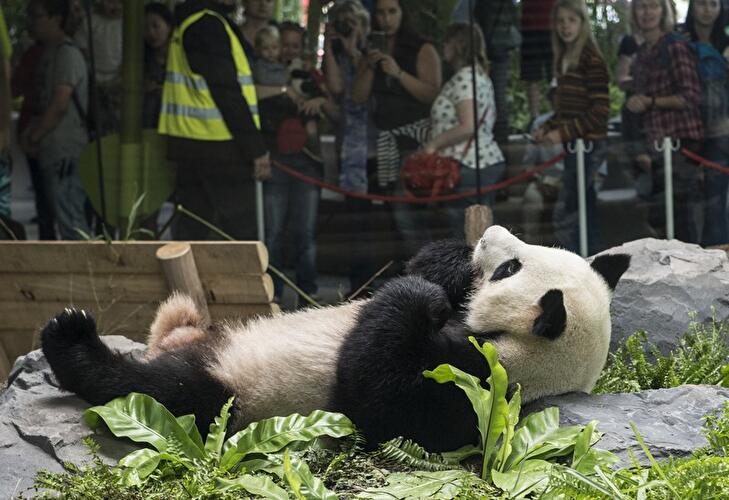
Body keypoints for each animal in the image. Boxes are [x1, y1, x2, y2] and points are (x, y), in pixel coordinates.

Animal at [40, 226, 630, 452]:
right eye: (518, 254)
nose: (486, 236)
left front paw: (419, 297)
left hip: (231, 394)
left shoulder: (475, 390)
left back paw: (71, 338)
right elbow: (428, 270)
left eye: (510, 268)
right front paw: (447, 266)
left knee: (162, 391)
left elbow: (379, 395)